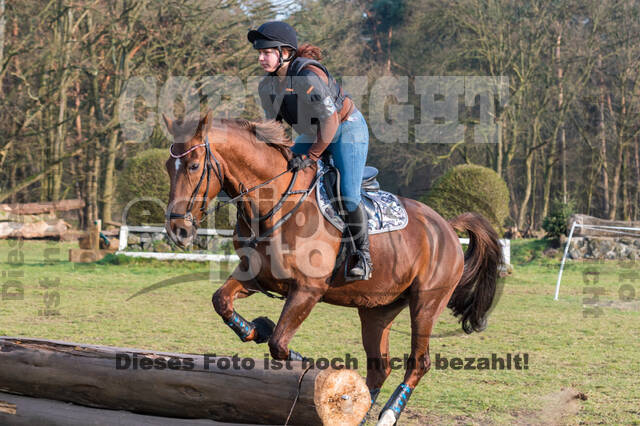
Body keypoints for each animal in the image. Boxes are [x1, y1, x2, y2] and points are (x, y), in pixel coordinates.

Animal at [162, 111, 502, 424]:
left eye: (193, 166)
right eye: (167, 166)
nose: (178, 230)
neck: (274, 204)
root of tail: (446, 226)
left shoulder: (307, 290)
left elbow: (280, 344)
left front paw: (305, 362)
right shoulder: (258, 277)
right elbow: (222, 302)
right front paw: (258, 327)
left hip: (426, 303)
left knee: (418, 363)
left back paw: (387, 415)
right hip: (377, 309)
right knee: (379, 367)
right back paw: (361, 413)